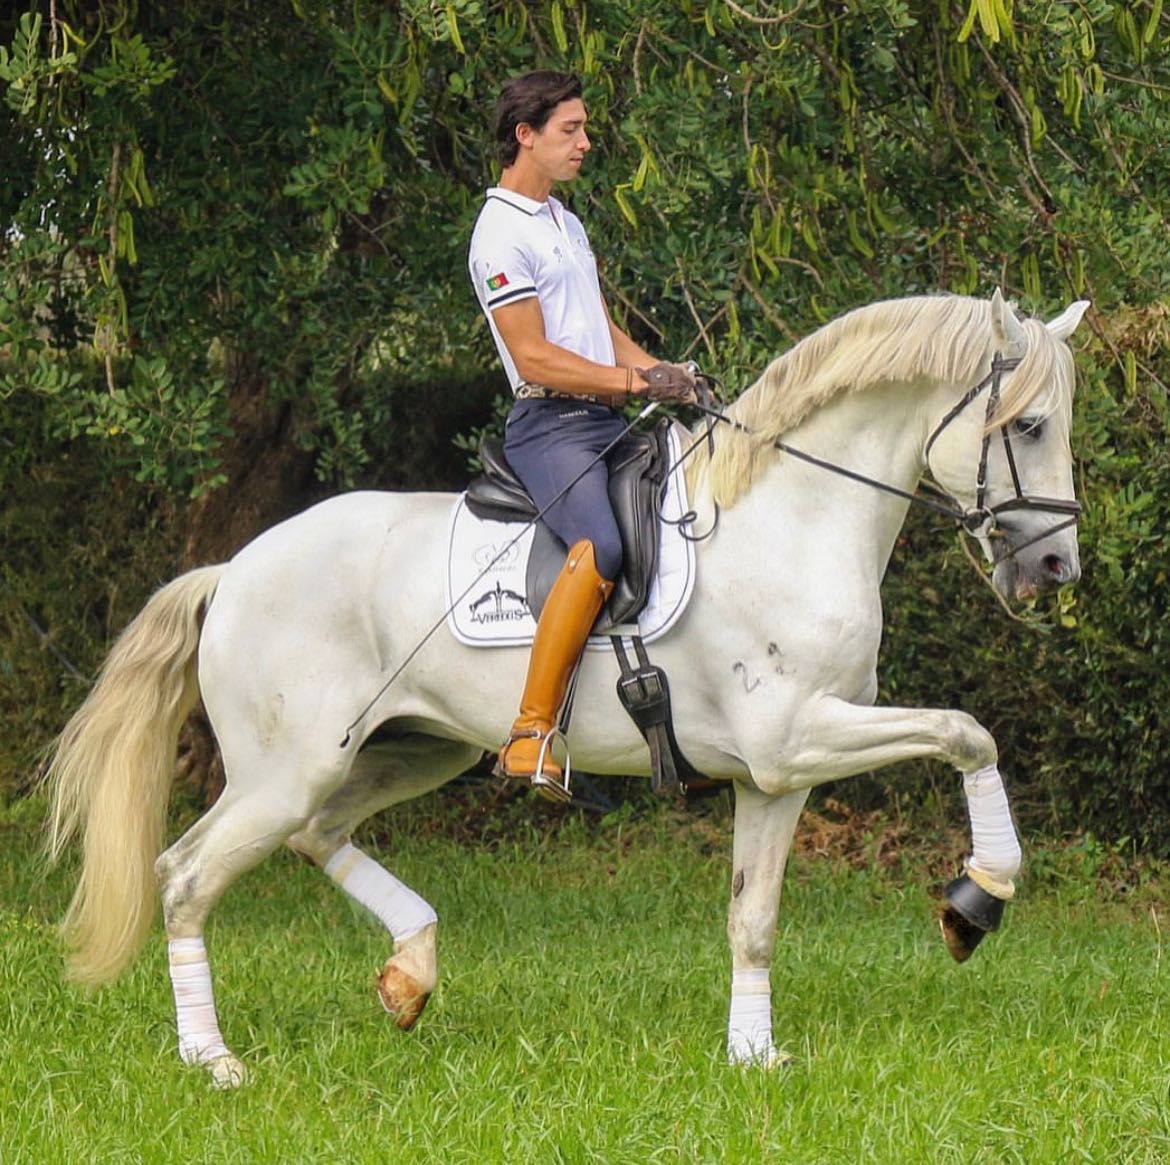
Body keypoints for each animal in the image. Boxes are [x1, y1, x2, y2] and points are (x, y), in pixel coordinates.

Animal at [43, 288, 1085, 1080]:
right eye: (1029, 425)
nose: (1055, 567)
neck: (791, 517)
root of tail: (232, 572)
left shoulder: (775, 773)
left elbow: (752, 918)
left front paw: (753, 1055)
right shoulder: (797, 735)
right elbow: (966, 730)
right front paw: (979, 897)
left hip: (413, 750)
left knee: (318, 833)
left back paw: (411, 972)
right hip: (283, 769)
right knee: (186, 876)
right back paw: (213, 1060)